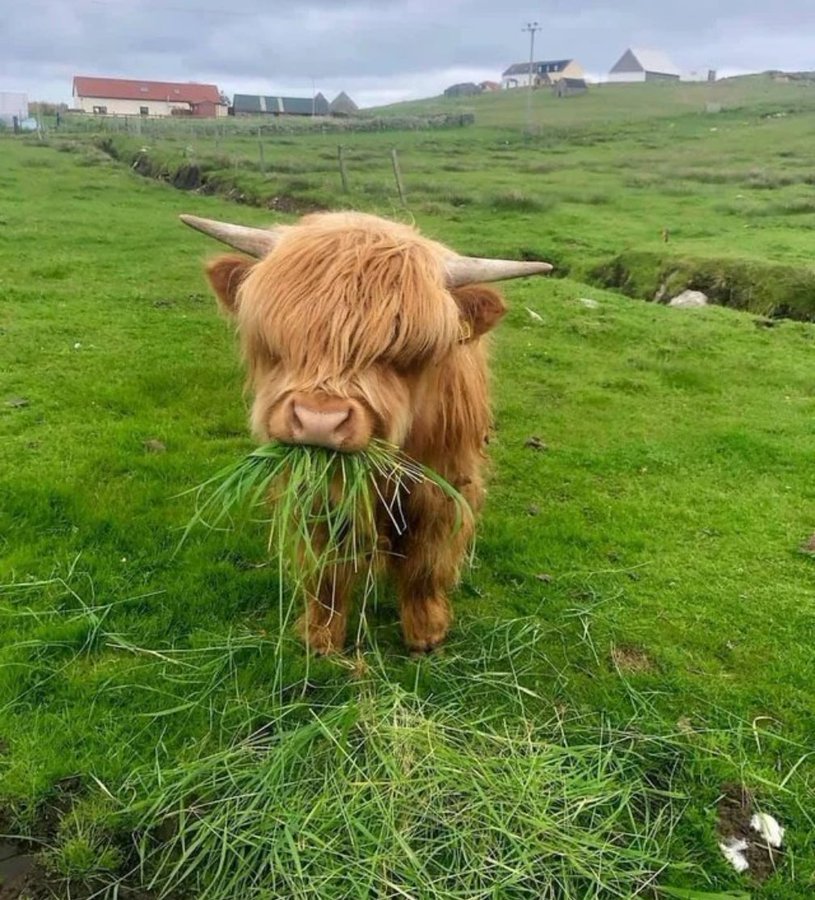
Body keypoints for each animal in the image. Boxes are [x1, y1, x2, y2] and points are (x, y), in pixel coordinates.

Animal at [182, 212, 551, 653]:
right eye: (280, 340)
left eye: (405, 351)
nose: (319, 420)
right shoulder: (318, 492)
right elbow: (326, 564)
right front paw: (321, 636)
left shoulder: (443, 483)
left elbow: (427, 559)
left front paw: (425, 632)